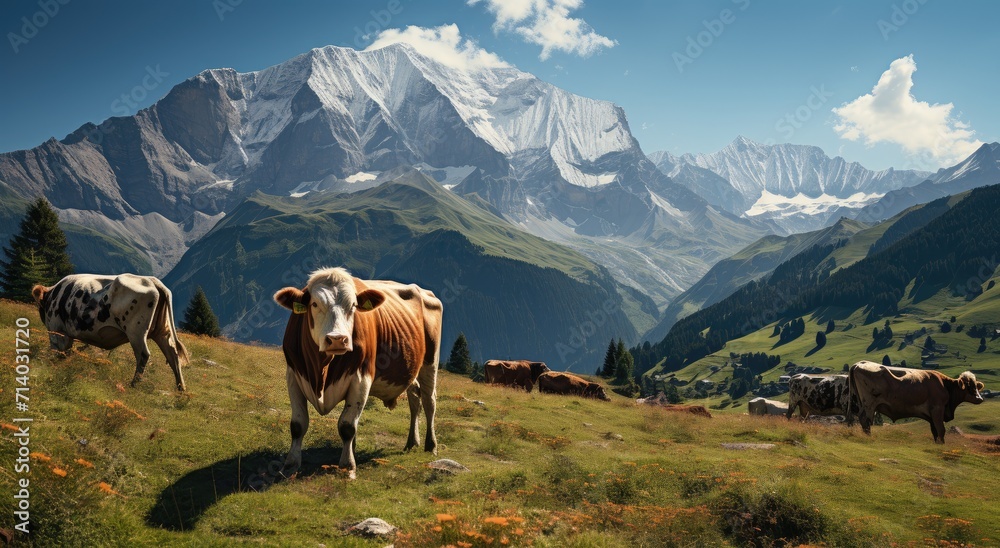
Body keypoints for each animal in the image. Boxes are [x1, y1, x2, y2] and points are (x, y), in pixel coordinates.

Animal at [32, 274, 189, 390]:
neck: (54, 295)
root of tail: (152, 281)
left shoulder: (56, 329)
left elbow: (58, 351)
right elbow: (66, 352)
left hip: (136, 332)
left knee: (143, 354)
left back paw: (134, 384)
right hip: (162, 331)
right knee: (173, 354)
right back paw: (181, 388)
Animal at [276, 268, 444, 478]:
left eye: (354, 306)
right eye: (314, 304)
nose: (337, 339)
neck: (322, 370)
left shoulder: (361, 378)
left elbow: (347, 426)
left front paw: (348, 466)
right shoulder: (293, 376)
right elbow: (298, 425)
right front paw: (290, 465)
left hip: (430, 362)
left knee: (430, 401)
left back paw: (431, 445)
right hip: (410, 369)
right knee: (415, 400)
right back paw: (411, 443)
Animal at [852, 360, 984, 446]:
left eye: (976, 386)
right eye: (969, 386)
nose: (980, 399)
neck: (945, 386)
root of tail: (860, 363)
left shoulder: (931, 416)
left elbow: (935, 432)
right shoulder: (937, 409)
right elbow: (941, 430)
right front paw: (942, 446)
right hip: (869, 403)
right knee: (865, 420)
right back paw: (868, 437)